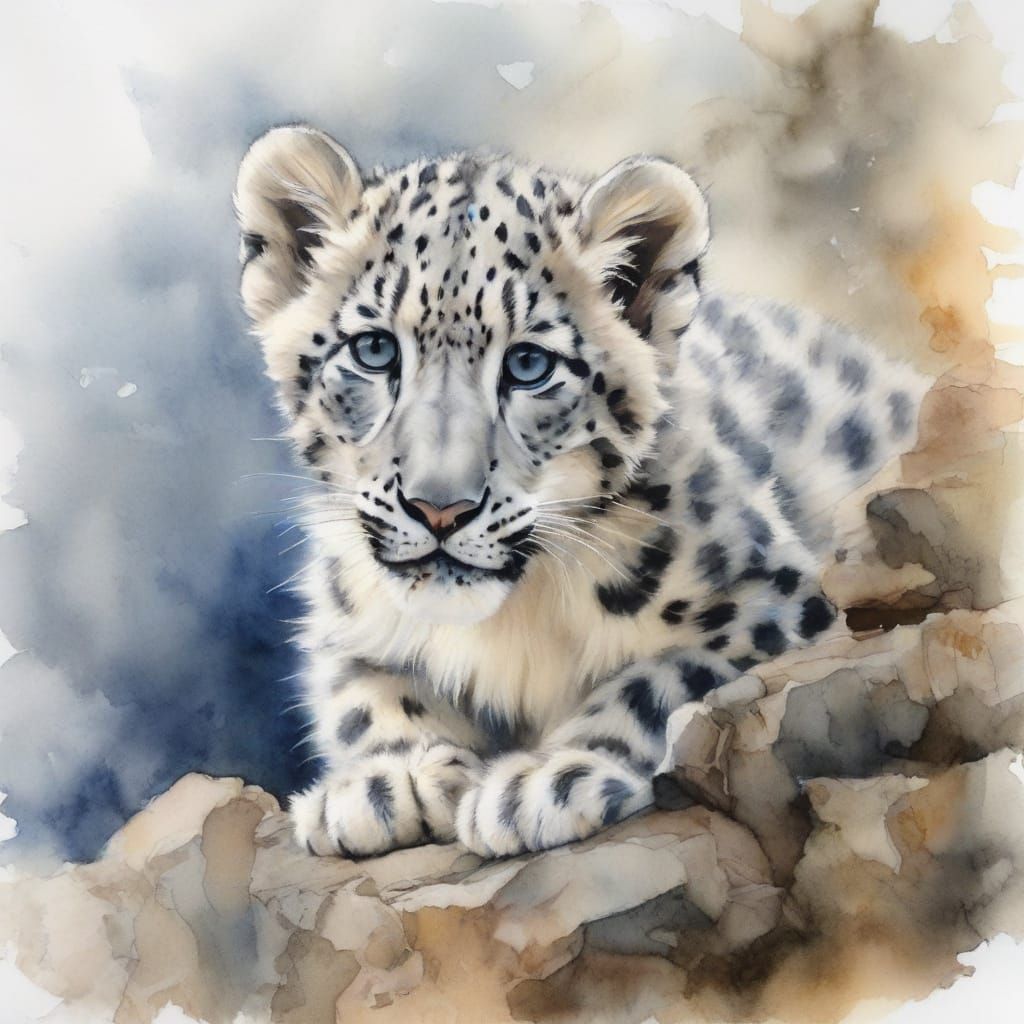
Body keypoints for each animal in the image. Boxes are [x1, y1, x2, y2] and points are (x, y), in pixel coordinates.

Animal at [233, 124, 929, 859]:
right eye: (373, 350)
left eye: (529, 363)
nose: (440, 508)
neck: (510, 621)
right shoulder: (346, 618)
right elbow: (361, 689)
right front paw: (389, 779)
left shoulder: (780, 602)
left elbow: (665, 679)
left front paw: (541, 780)